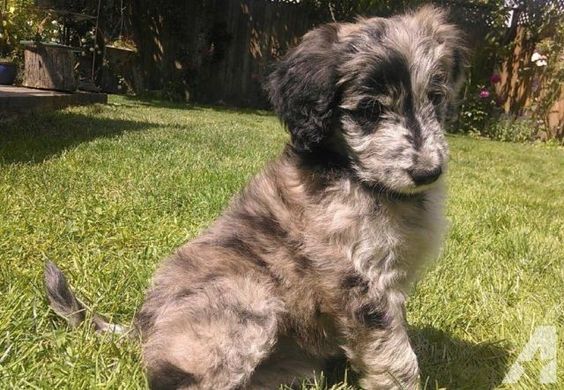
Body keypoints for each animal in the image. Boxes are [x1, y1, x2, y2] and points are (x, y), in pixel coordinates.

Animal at [45, 6, 468, 390]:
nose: (428, 172)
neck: (355, 174)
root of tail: (142, 326)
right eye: (370, 109)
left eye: (435, 97)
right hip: (246, 301)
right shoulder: (360, 283)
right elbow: (394, 353)